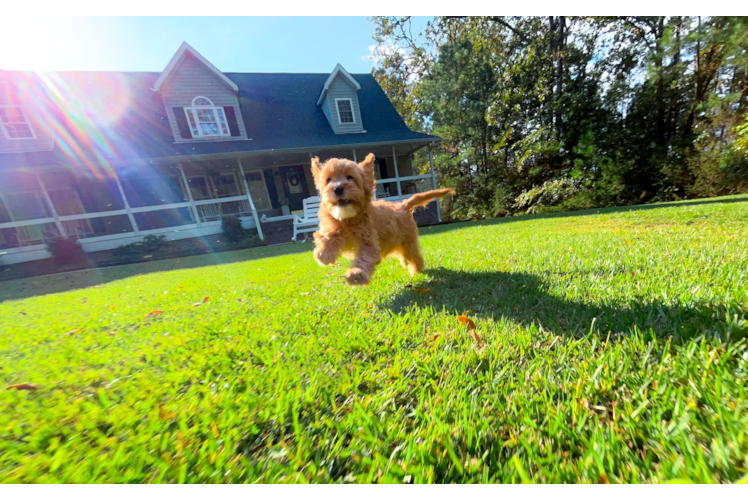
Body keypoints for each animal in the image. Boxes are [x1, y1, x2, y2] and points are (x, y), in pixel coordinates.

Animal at [312, 152, 456, 286]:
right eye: (328, 180)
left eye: (350, 177)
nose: (337, 188)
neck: (349, 218)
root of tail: (402, 206)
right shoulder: (335, 226)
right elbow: (329, 235)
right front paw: (324, 253)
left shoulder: (369, 243)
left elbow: (365, 258)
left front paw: (356, 274)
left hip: (408, 242)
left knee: (415, 255)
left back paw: (417, 270)